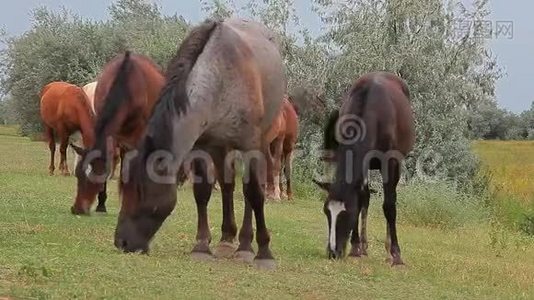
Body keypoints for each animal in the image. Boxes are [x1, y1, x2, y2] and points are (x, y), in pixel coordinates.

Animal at [114, 18, 288, 270]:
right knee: (227, 185)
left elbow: (254, 193)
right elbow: (203, 191)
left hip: (261, 142)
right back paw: (227, 239)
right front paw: (202, 246)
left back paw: (245, 245)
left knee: (249, 192)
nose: (121, 242)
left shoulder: (250, 145)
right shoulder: (202, 146)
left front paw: (264, 252)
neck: (221, 75)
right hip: (221, 147)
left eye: (139, 191)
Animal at [314, 72, 418, 264]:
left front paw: (396, 254)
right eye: (326, 212)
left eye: (346, 213)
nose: (333, 252)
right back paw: (363, 245)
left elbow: (389, 205)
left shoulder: (390, 163)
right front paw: (356, 247)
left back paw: (388, 249)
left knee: (390, 199)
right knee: (366, 197)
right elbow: (361, 199)